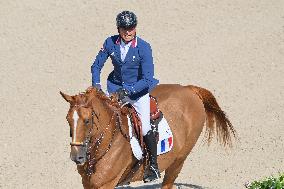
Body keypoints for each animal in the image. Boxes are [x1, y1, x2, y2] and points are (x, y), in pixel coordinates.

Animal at [60, 84, 237, 189]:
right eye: (67, 119)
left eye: (87, 121)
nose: (77, 157)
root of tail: (189, 89)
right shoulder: (88, 183)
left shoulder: (106, 184)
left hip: (178, 160)